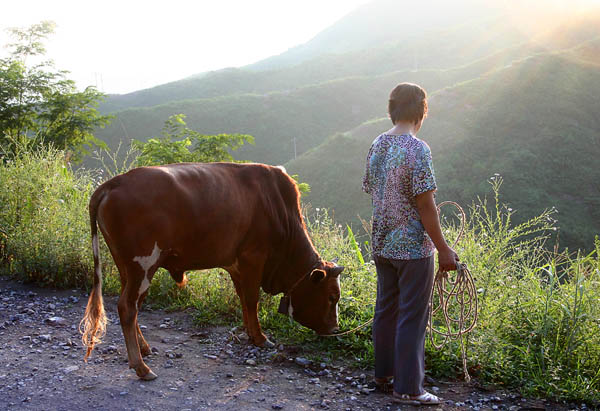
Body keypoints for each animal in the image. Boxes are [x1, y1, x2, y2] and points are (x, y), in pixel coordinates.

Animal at [79, 163, 342, 380]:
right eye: (332, 297)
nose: (334, 330)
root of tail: (115, 182)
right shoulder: (253, 258)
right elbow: (252, 300)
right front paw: (260, 338)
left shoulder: (236, 265)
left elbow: (244, 301)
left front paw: (250, 333)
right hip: (142, 266)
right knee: (127, 307)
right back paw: (141, 367)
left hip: (129, 269)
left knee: (132, 306)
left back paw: (144, 349)